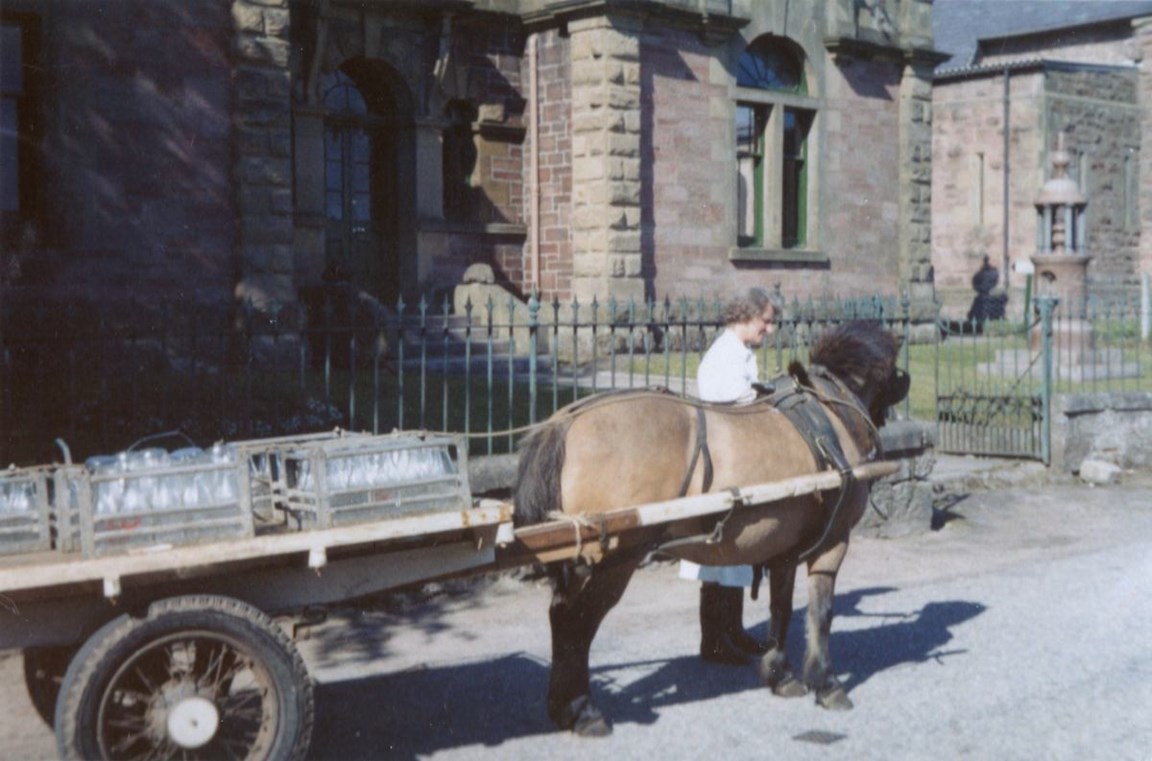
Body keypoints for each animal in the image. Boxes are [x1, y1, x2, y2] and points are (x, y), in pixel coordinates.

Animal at [513, 320, 907, 736]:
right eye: (892, 365)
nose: (908, 378)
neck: (829, 413)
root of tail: (566, 419)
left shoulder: (784, 549)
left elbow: (781, 609)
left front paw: (780, 674)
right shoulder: (833, 541)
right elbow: (822, 612)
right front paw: (826, 682)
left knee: (560, 617)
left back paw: (564, 705)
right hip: (614, 559)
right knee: (577, 623)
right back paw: (584, 709)